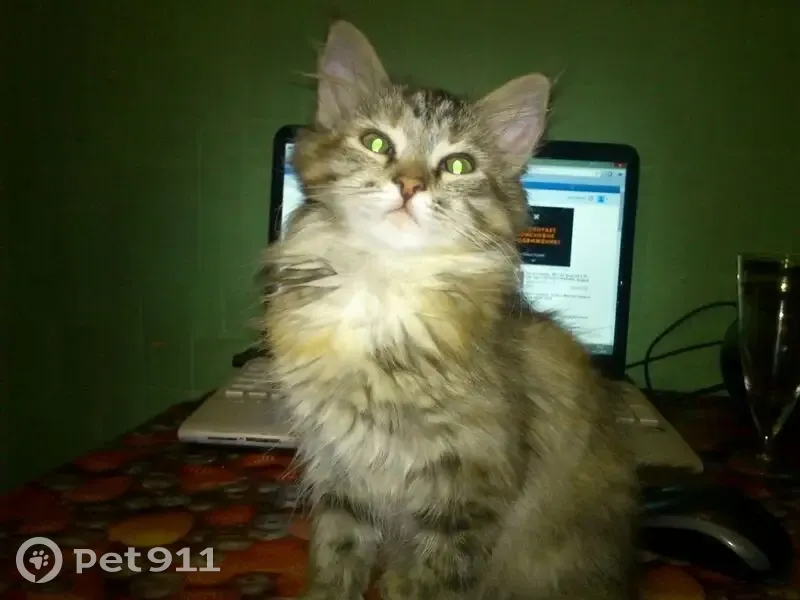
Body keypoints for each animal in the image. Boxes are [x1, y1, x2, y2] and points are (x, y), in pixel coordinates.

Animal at [261, 20, 639, 600]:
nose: (410, 185)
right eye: (377, 143)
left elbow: (436, 580)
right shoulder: (340, 469)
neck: (383, 286)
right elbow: (336, 560)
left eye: (458, 165)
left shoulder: (468, 488)